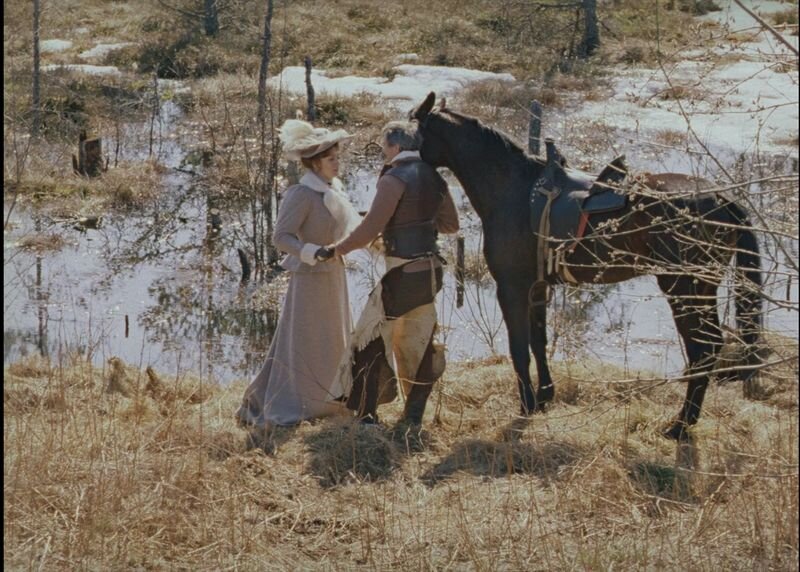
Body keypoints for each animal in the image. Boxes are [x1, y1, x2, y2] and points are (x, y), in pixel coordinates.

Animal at [410, 91, 764, 440]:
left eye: (416, 130)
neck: (512, 189)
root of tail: (724, 201)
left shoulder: (511, 287)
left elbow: (519, 349)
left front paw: (526, 405)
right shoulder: (538, 288)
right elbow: (539, 342)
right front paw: (544, 397)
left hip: (682, 288)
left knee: (703, 349)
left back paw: (680, 425)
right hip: (702, 287)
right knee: (710, 346)